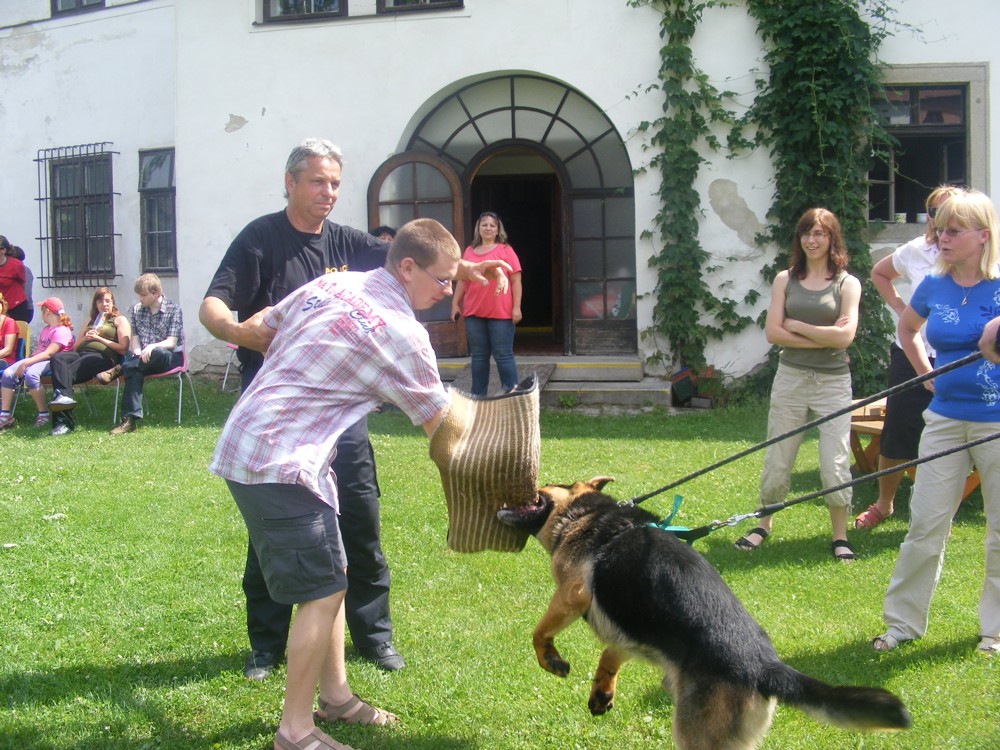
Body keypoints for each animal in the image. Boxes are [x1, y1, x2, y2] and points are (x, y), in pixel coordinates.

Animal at [497, 477, 911, 750]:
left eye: (545, 485)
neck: (587, 515)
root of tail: (765, 668)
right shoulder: (630, 634)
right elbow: (611, 655)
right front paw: (602, 691)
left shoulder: (572, 594)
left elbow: (538, 632)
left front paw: (550, 659)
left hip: (696, 737)